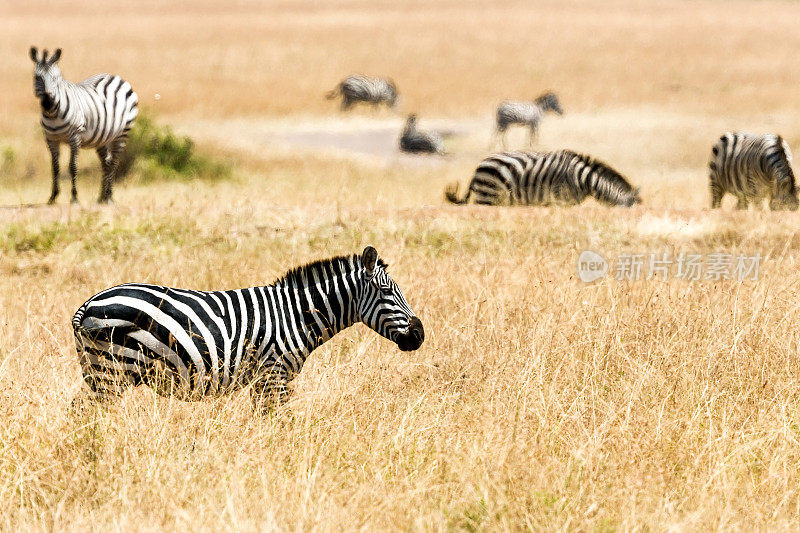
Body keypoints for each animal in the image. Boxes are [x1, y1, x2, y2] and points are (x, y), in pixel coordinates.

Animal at [29, 46, 139, 204]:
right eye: (37, 78)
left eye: (57, 78)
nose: (48, 103)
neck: (53, 114)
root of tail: (115, 77)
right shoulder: (51, 139)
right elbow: (55, 168)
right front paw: (53, 197)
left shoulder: (75, 137)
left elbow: (72, 167)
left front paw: (74, 197)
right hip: (102, 138)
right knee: (106, 163)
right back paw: (102, 197)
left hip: (122, 134)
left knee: (113, 163)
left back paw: (110, 196)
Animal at [72, 246, 428, 412]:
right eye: (387, 292)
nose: (420, 335)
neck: (296, 315)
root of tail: (88, 304)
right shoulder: (275, 375)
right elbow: (276, 422)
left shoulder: (263, 380)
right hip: (111, 370)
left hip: (97, 370)